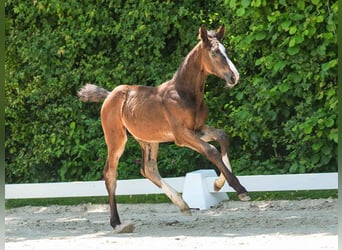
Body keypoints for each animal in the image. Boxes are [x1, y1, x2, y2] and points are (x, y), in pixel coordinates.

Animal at [79, 25, 250, 232]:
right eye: (215, 52)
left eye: (226, 51)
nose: (234, 76)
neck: (185, 94)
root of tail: (109, 95)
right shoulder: (182, 135)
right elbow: (211, 151)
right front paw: (240, 190)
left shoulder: (198, 129)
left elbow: (223, 137)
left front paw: (217, 185)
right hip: (117, 139)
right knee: (110, 173)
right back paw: (117, 223)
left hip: (148, 139)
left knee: (148, 169)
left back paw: (182, 205)